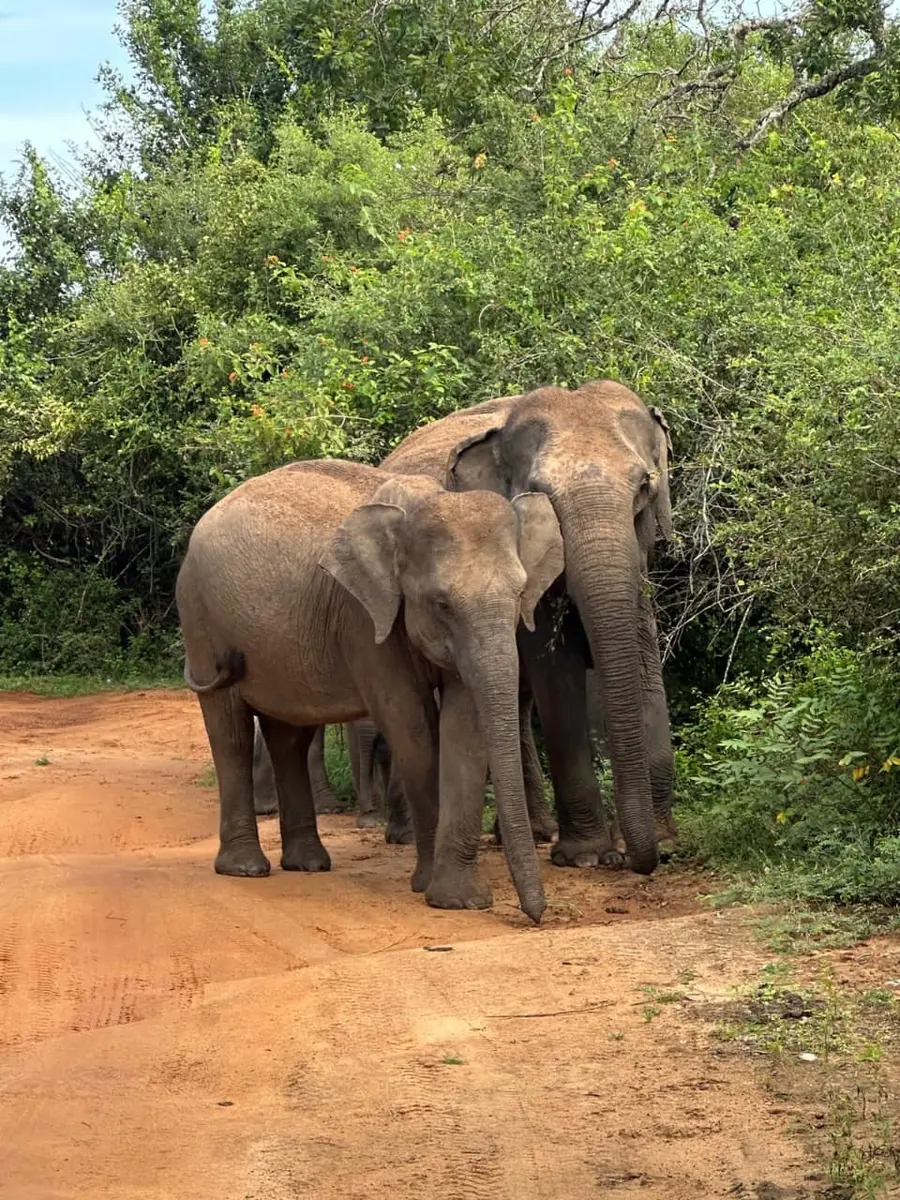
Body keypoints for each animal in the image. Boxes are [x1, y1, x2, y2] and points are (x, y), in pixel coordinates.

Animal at [176, 460, 564, 922]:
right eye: (441, 604)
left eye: (521, 593)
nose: (536, 916)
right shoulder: (363, 620)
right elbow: (411, 727)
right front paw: (430, 889)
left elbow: (465, 730)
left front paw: (460, 901)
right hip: (200, 620)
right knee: (230, 731)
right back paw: (246, 870)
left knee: (288, 737)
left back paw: (308, 864)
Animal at [381, 379, 676, 875]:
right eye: (540, 493)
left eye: (643, 486)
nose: (639, 862)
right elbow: (555, 671)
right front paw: (587, 858)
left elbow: (642, 653)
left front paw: (667, 843)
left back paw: (534, 832)